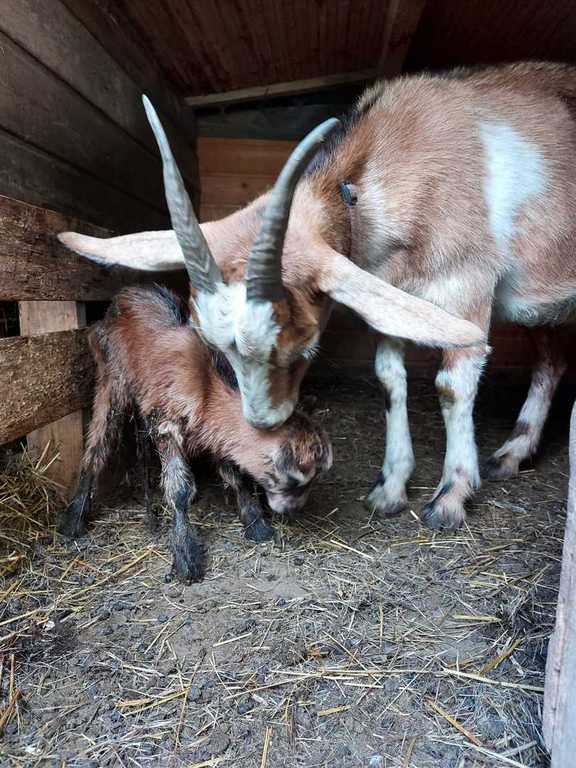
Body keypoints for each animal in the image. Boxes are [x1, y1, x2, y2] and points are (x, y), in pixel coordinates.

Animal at [57, 285, 332, 583]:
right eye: (295, 479)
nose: (294, 509)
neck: (206, 384)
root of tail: (124, 295)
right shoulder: (165, 423)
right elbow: (178, 488)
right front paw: (185, 555)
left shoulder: (214, 433)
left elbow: (234, 474)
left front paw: (256, 523)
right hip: (111, 374)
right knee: (99, 440)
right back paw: (73, 520)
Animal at [58, 62, 576, 532]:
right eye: (214, 348)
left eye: (302, 347)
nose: (265, 423)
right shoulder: (391, 295)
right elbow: (389, 378)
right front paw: (389, 490)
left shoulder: (468, 281)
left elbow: (452, 385)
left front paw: (450, 497)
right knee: (552, 360)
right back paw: (512, 454)